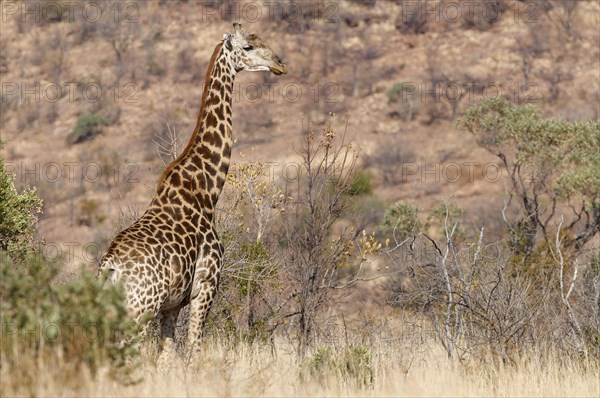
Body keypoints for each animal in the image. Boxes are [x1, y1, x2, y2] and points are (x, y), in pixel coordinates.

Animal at [98, 22, 286, 354]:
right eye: (248, 47)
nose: (279, 64)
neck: (207, 190)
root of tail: (110, 270)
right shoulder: (205, 288)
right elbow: (195, 352)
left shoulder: (172, 305)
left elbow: (167, 355)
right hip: (139, 312)